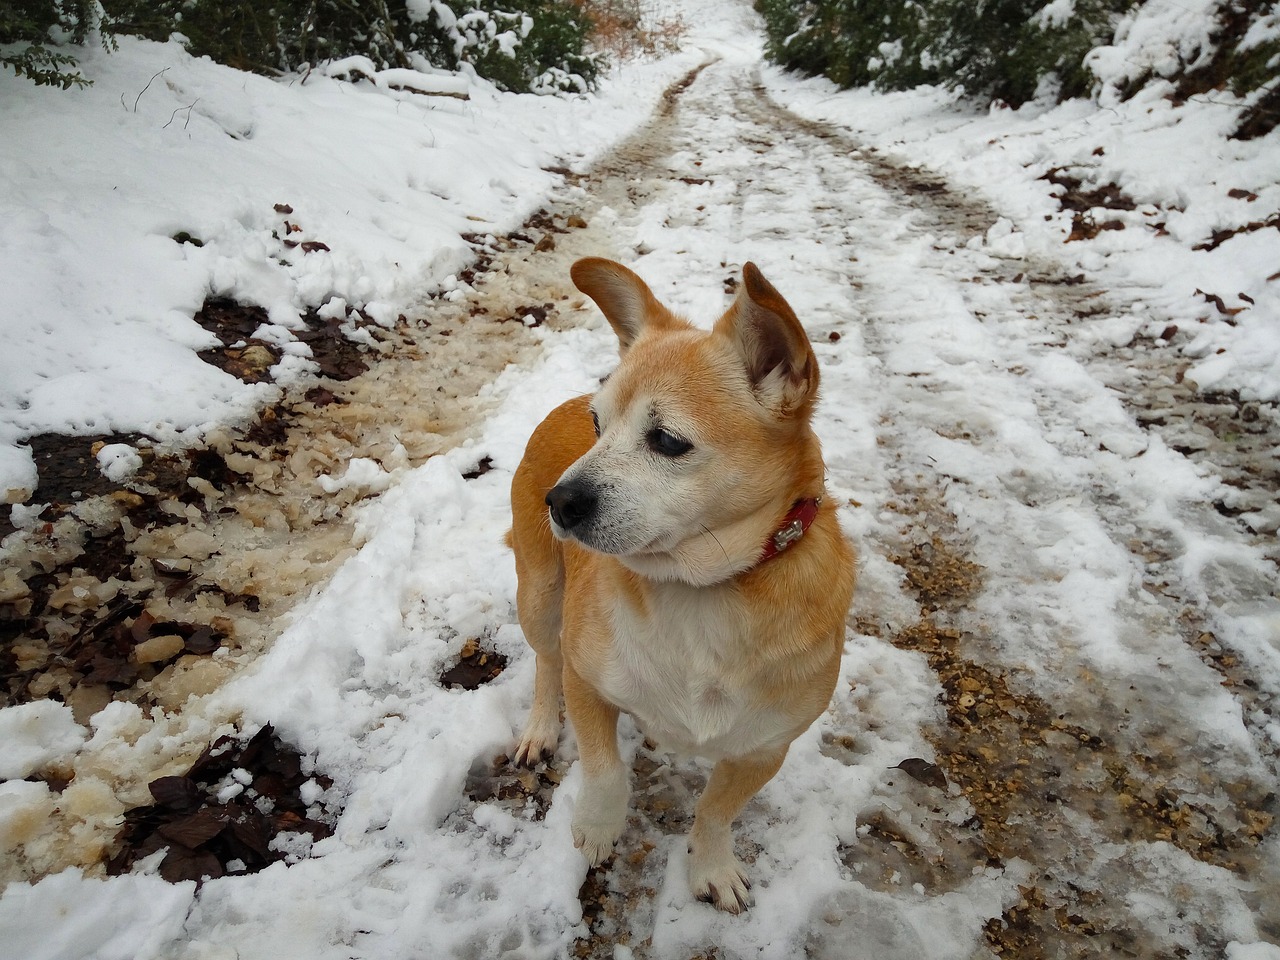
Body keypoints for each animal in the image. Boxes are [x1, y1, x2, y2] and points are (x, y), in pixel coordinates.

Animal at [504, 257, 855, 916]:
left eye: (667, 440)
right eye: (598, 424)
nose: (557, 502)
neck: (698, 590)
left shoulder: (764, 749)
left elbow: (716, 813)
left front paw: (711, 867)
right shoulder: (587, 681)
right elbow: (605, 769)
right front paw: (597, 827)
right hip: (538, 597)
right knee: (545, 658)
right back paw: (540, 727)